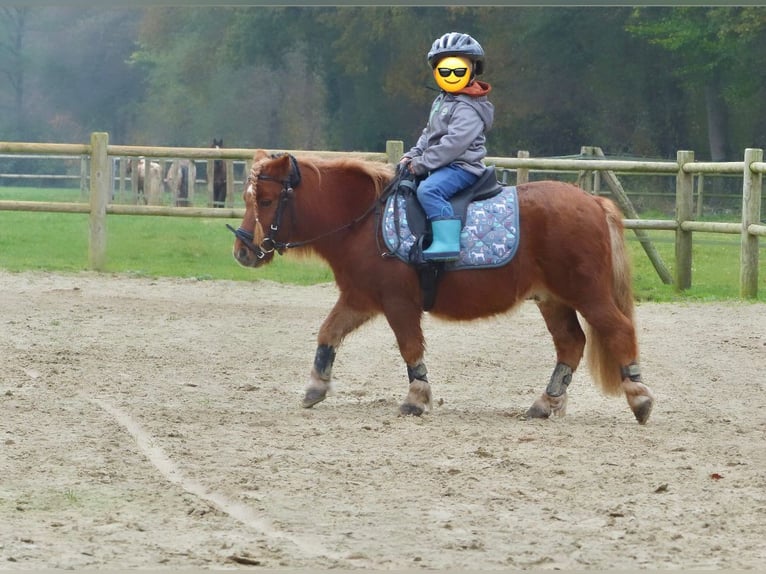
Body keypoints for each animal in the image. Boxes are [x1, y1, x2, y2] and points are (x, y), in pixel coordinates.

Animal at [231, 151, 656, 426]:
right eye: (248, 198)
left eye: (265, 200)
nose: (242, 251)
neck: (363, 222)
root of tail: (594, 201)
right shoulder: (359, 299)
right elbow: (328, 333)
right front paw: (316, 386)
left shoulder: (399, 303)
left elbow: (409, 348)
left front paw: (415, 398)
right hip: (552, 300)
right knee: (570, 344)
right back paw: (545, 403)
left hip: (588, 294)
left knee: (619, 331)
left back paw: (639, 397)